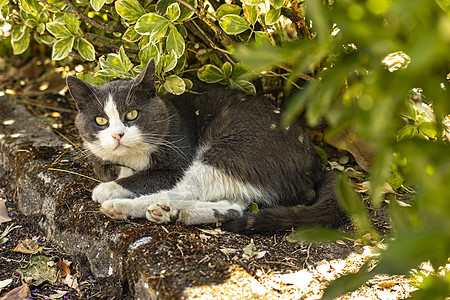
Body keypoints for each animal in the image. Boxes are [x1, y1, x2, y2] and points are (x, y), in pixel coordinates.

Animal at [67, 59, 346, 234]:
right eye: (100, 120)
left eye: (132, 114)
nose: (118, 135)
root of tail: (316, 163)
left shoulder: (177, 158)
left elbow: (146, 178)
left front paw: (110, 188)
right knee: (237, 204)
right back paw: (182, 212)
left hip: (234, 148)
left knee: (185, 190)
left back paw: (129, 206)